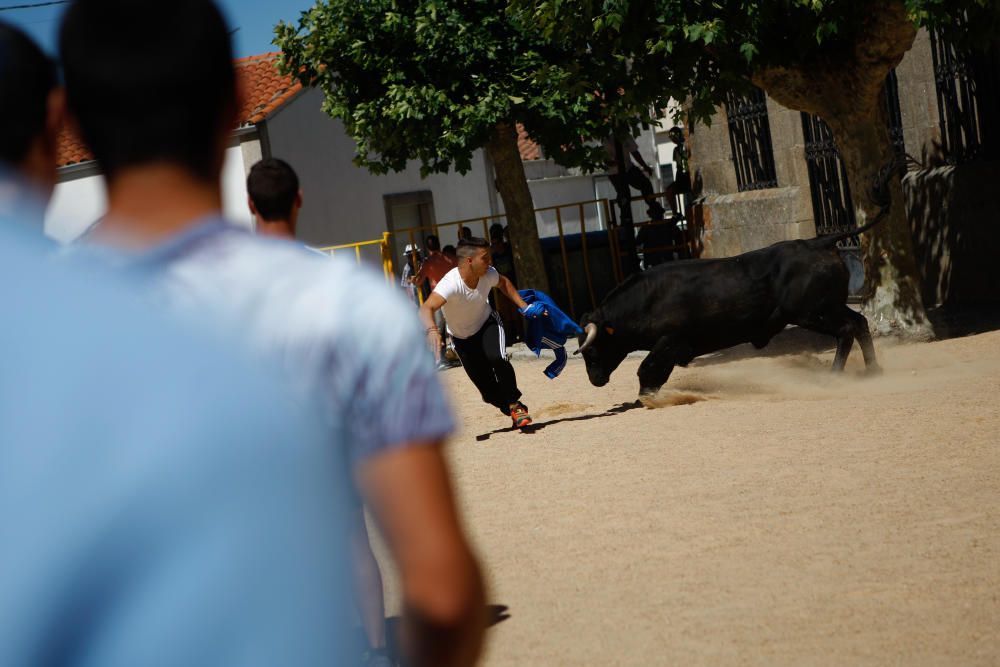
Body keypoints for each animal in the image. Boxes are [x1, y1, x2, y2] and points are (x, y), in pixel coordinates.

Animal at [576, 215, 888, 396]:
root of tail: (820, 242)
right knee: (859, 323)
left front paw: (649, 399)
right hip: (829, 307)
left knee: (846, 330)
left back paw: (835, 376)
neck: (645, 301)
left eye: (591, 350)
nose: (595, 380)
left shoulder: (670, 341)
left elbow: (648, 368)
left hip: (813, 313)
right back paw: (872, 370)